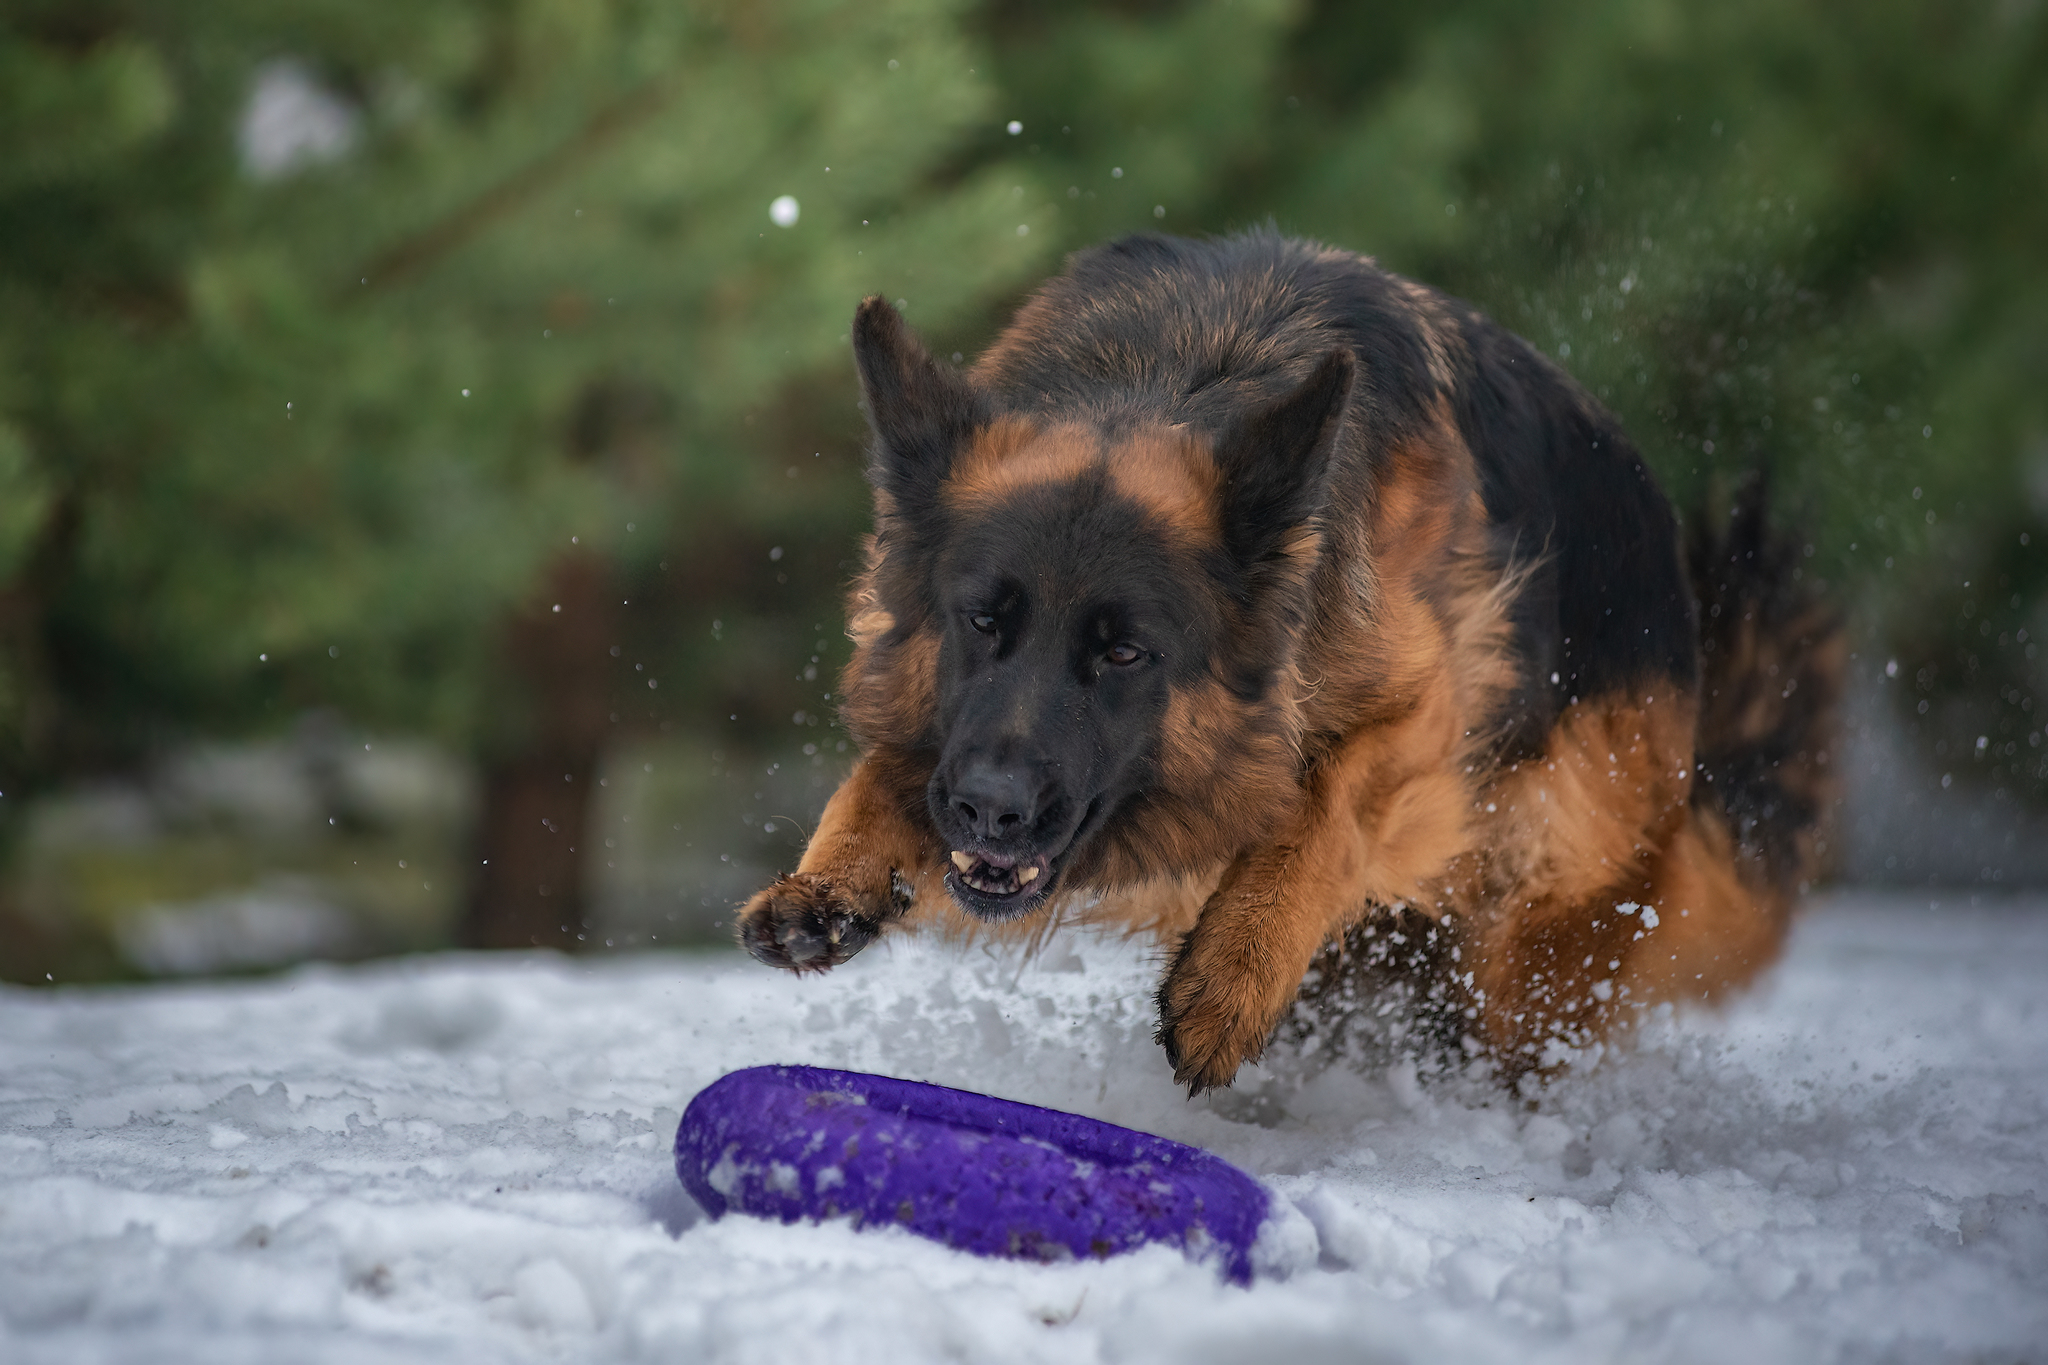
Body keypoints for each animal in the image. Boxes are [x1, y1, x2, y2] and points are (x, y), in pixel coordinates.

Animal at [737, 229, 1843, 1096]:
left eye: (1125, 652)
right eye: (980, 623)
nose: (988, 811)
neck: (1174, 367)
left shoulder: (1429, 707)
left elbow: (1322, 804)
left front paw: (1233, 971)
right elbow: (888, 770)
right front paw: (832, 874)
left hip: (1535, 906)